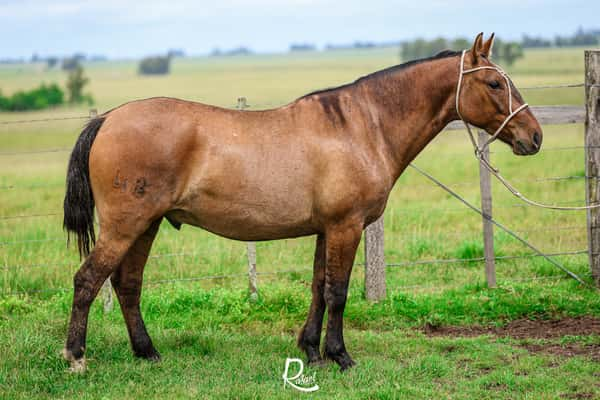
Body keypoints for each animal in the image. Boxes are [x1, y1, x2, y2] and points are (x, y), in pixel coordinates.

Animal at [62, 33, 544, 372]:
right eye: (494, 82)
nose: (534, 137)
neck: (361, 125)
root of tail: (110, 118)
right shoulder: (346, 226)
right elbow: (338, 292)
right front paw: (340, 355)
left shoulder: (326, 229)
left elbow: (317, 287)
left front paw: (311, 351)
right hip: (126, 225)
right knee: (88, 280)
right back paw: (76, 357)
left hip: (147, 224)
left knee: (127, 284)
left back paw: (147, 352)